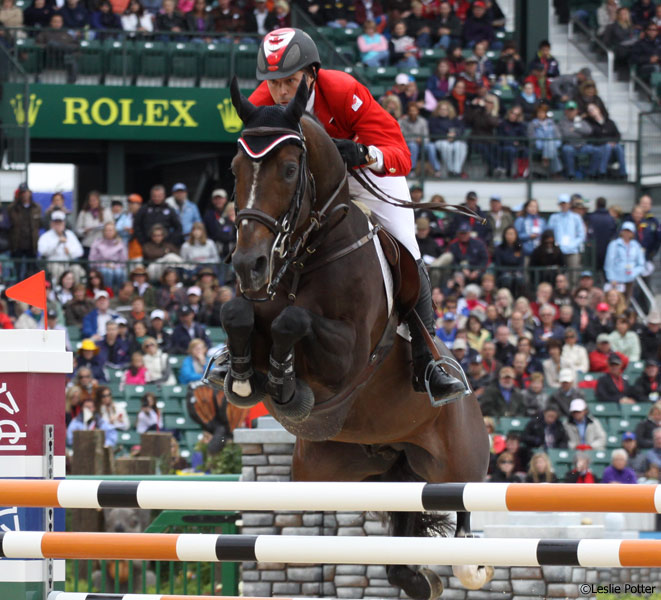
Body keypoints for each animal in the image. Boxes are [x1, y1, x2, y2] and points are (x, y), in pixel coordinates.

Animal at [211, 79, 490, 600]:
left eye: (290, 169)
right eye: (235, 169)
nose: (248, 265)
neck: (304, 253)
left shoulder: (348, 356)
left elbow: (293, 321)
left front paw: (285, 384)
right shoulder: (254, 308)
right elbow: (237, 313)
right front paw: (240, 377)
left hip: (457, 458)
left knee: (463, 500)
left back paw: (469, 562)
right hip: (336, 472)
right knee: (405, 523)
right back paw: (417, 578)